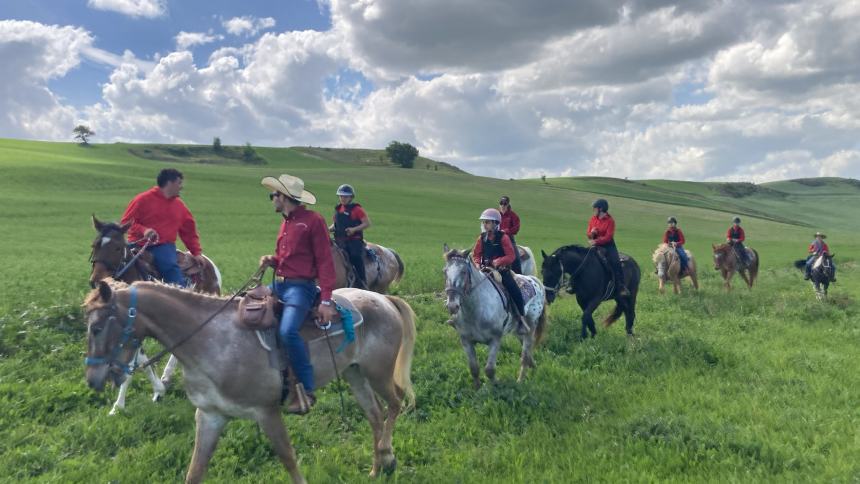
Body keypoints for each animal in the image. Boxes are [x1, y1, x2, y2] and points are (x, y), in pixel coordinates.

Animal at [84, 280, 416, 484]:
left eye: (97, 327)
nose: (93, 379)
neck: (211, 341)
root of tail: (383, 298)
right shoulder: (210, 416)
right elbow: (195, 471)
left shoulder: (267, 412)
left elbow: (289, 459)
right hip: (354, 372)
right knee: (374, 414)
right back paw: (376, 467)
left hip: (378, 372)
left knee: (395, 403)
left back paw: (387, 456)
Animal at [87, 217, 220, 414]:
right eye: (95, 245)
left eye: (118, 247)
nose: (97, 280)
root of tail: (206, 262)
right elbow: (139, 359)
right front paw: (158, 390)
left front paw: (118, 406)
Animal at [440, 244, 548, 388]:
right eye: (445, 271)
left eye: (463, 272)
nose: (452, 306)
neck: (475, 311)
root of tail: (536, 281)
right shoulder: (466, 340)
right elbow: (474, 368)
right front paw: (478, 388)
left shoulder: (495, 339)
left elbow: (489, 370)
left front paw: (495, 385)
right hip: (518, 330)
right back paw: (533, 366)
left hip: (531, 326)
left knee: (525, 353)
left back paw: (521, 379)